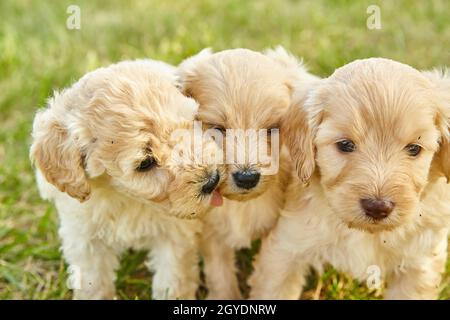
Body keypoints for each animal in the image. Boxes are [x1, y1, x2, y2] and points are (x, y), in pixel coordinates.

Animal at [29, 59, 223, 300]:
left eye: (192, 122)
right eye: (145, 163)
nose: (213, 180)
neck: (125, 197)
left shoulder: (175, 234)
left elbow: (173, 278)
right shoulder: (84, 237)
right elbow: (94, 282)